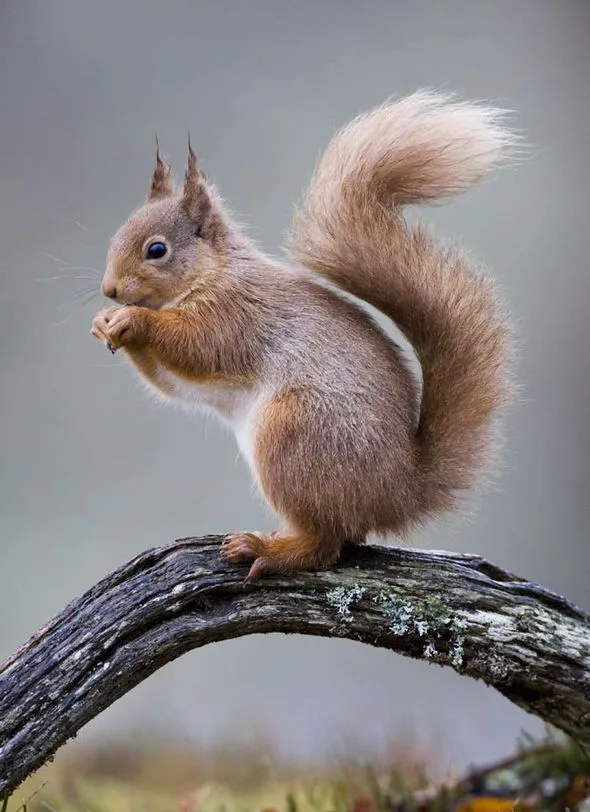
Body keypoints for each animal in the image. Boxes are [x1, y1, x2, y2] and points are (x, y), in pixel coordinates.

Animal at [91, 90, 516, 582]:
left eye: (156, 249)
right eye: (116, 235)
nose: (109, 290)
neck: (215, 273)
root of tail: (398, 490)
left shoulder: (236, 316)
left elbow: (196, 346)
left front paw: (133, 321)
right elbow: (172, 382)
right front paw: (104, 323)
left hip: (294, 433)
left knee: (327, 542)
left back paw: (269, 549)